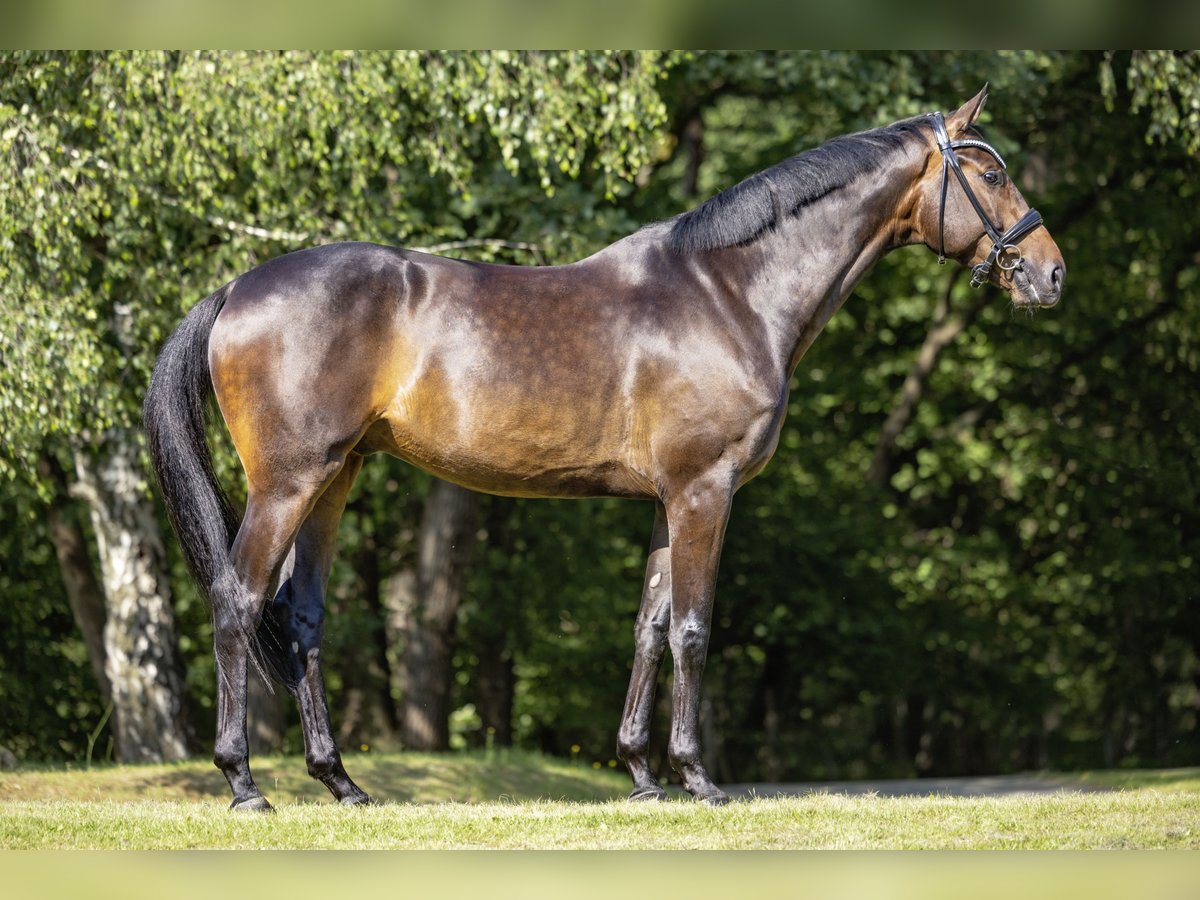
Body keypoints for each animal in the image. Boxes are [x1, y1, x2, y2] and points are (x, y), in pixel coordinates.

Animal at [145, 88, 1065, 816]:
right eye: (989, 175)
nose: (1050, 273)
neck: (730, 293)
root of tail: (238, 288)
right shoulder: (705, 492)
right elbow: (692, 628)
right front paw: (698, 779)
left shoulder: (668, 501)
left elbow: (648, 629)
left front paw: (642, 776)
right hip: (286, 483)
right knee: (237, 600)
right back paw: (243, 784)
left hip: (335, 479)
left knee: (300, 619)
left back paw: (342, 784)